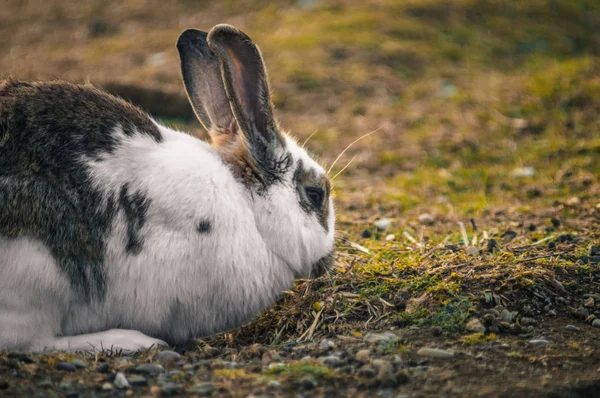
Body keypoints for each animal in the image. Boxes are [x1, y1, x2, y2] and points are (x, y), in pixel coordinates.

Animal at [0, 23, 336, 352]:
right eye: (315, 194)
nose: (328, 260)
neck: (248, 209)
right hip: (38, 275)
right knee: (32, 342)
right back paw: (132, 341)